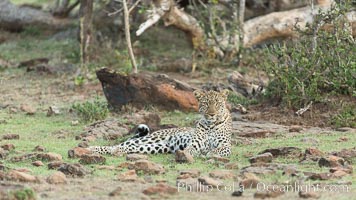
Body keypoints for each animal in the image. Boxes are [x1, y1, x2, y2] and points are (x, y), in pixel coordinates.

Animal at [87, 90, 232, 157]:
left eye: (218, 104)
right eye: (206, 103)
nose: (212, 114)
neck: (211, 125)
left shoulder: (226, 145)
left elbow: (218, 149)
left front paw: (210, 153)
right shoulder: (195, 144)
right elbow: (189, 150)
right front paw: (188, 154)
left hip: (158, 146)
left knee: (127, 147)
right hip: (149, 139)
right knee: (119, 145)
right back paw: (92, 149)